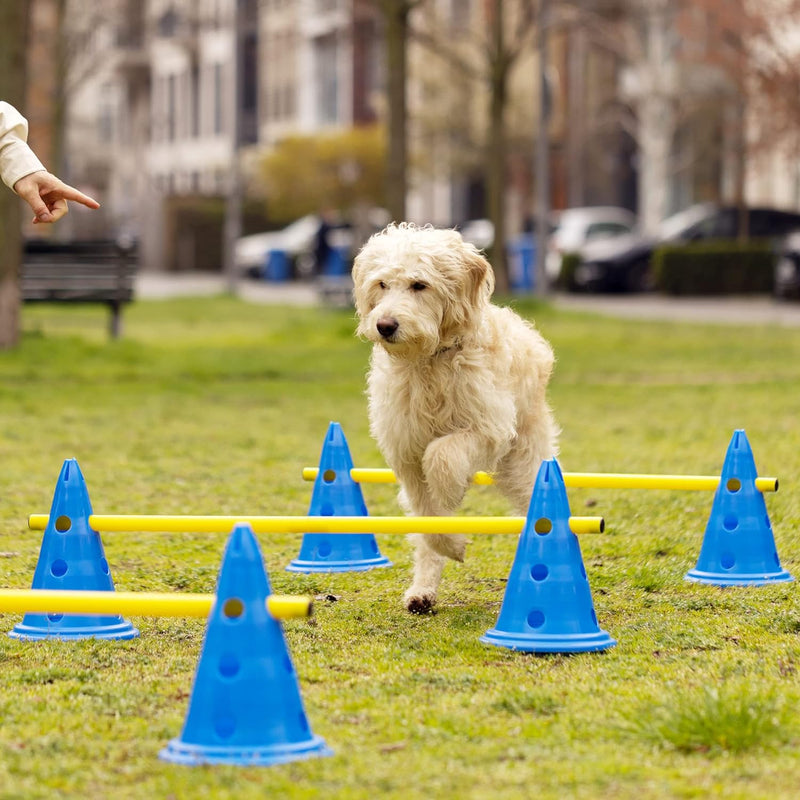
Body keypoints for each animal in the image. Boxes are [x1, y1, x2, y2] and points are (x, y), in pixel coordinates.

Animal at [354, 222, 560, 608]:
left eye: (419, 285)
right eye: (382, 284)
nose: (385, 325)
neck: (430, 361)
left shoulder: (488, 429)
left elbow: (442, 455)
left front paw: (452, 490)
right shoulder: (406, 453)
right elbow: (428, 519)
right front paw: (452, 545)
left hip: (525, 461)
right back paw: (422, 591)